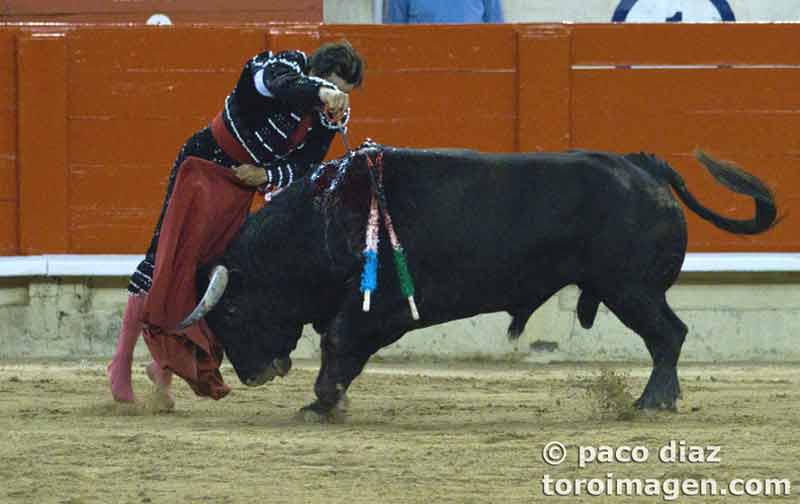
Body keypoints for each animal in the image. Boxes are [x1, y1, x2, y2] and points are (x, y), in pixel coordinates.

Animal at [189, 144, 776, 420]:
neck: (326, 218)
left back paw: (654, 401)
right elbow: (340, 348)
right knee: (666, 336)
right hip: (627, 290)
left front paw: (321, 404)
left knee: (669, 335)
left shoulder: (379, 309)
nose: (254, 376)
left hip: (631, 289)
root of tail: (646, 168)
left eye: (232, 312)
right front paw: (323, 403)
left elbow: (337, 343)